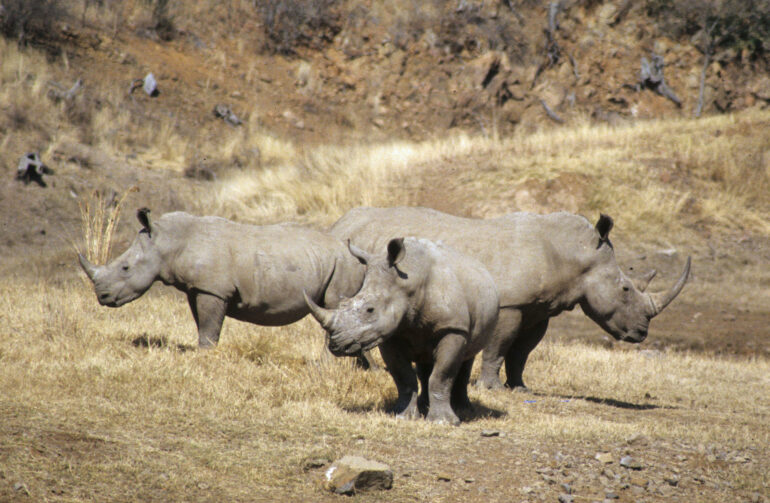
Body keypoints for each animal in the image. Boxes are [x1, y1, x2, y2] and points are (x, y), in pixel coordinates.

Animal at [79, 209, 365, 349]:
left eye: (125, 268)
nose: (102, 297)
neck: (168, 242)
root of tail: (352, 250)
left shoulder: (213, 289)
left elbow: (209, 326)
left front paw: (205, 355)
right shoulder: (196, 288)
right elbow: (203, 324)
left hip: (342, 264)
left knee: (334, 308)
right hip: (335, 262)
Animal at [304, 237, 499, 425]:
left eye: (370, 310)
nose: (336, 345)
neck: (408, 283)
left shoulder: (452, 328)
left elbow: (442, 375)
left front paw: (444, 422)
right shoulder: (388, 334)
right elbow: (403, 375)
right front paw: (403, 416)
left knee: (467, 356)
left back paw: (463, 410)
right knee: (425, 361)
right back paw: (425, 405)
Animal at [330, 207, 691, 390]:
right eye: (626, 289)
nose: (642, 333)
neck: (576, 254)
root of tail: (339, 223)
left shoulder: (539, 309)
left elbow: (522, 352)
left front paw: (520, 388)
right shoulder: (509, 303)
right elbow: (499, 347)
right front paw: (491, 389)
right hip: (354, 255)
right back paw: (368, 368)